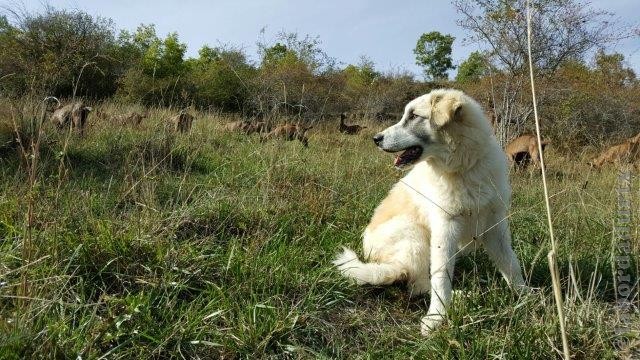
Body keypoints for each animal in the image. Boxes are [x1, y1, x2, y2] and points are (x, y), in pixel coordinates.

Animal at [336, 88, 524, 336]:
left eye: (414, 116)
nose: (376, 139)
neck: (464, 168)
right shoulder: (445, 229)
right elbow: (440, 279)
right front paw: (436, 317)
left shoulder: (495, 226)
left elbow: (511, 265)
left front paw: (527, 296)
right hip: (415, 236)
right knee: (418, 285)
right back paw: (462, 296)